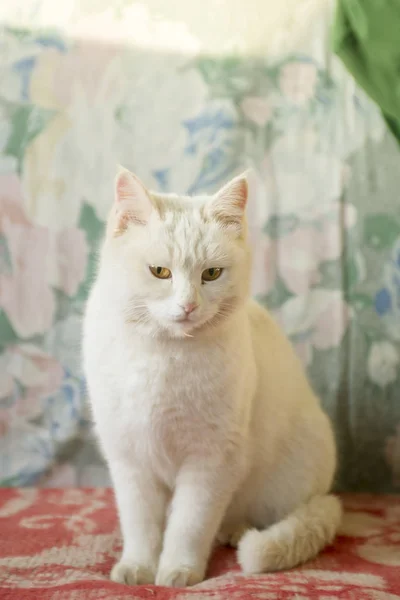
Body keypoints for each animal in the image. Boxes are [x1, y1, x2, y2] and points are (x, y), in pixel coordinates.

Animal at [83, 166, 342, 588]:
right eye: (160, 272)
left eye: (212, 274)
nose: (188, 305)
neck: (166, 354)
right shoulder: (130, 458)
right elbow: (140, 524)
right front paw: (138, 566)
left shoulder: (213, 460)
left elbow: (189, 524)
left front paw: (177, 571)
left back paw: (234, 531)